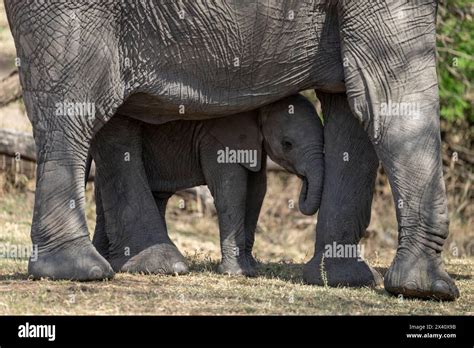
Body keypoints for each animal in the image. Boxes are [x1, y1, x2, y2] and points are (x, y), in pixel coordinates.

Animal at [90, 94, 324, 276]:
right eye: (288, 144)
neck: (261, 106)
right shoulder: (220, 139)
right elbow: (231, 190)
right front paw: (236, 273)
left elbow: (258, 191)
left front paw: (251, 268)